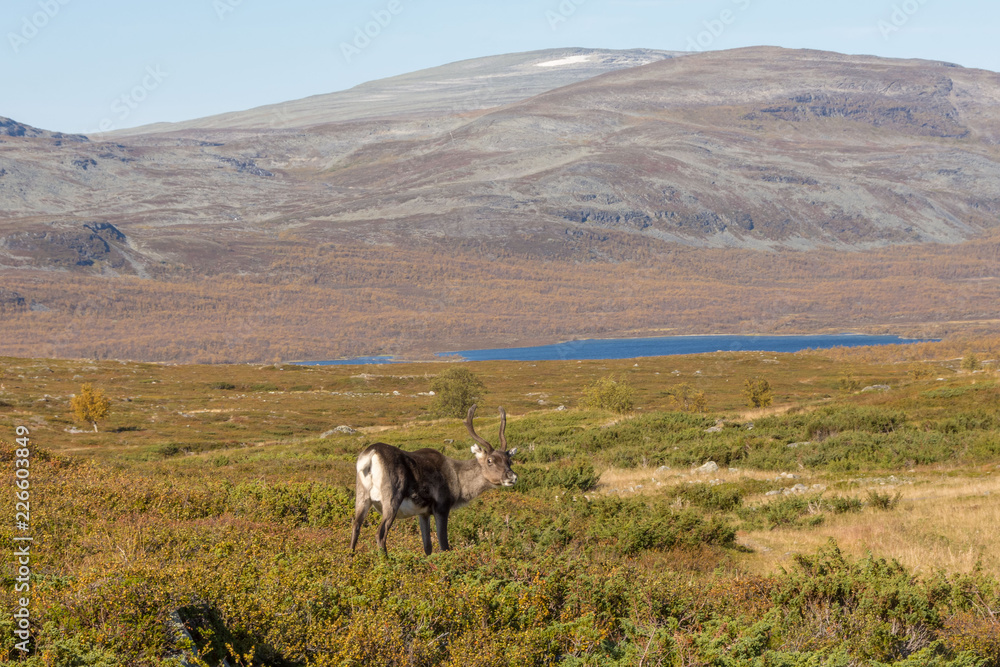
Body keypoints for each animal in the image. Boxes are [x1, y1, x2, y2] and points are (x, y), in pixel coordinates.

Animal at [350, 404, 518, 555]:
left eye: (509, 460)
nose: (512, 477)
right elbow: (444, 545)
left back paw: (351, 558)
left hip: (362, 496)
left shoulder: (423, 513)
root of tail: (371, 454)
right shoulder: (441, 507)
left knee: (356, 526)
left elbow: (428, 547)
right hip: (391, 498)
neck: (458, 481)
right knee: (380, 533)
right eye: (490, 460)